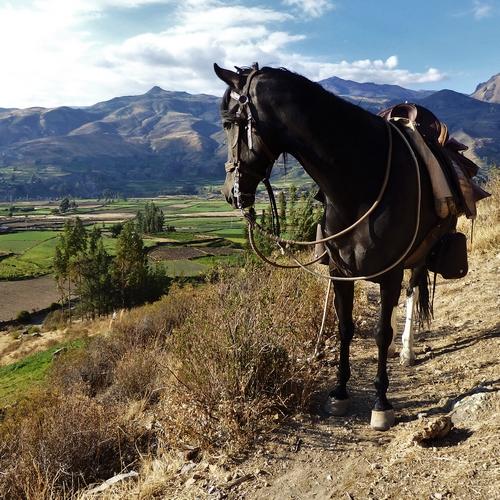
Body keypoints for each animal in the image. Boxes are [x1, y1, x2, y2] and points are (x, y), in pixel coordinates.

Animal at [213, 62, 456, 430]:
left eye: (229, 124)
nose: (230, 193)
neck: (359, 182)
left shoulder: (390, 273)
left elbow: (381, 332)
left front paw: (381, 402)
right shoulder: (341, 273)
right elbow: (345, 328)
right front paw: (339, 393)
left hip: (420, 252)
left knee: (413, 290)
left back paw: (407, 350)